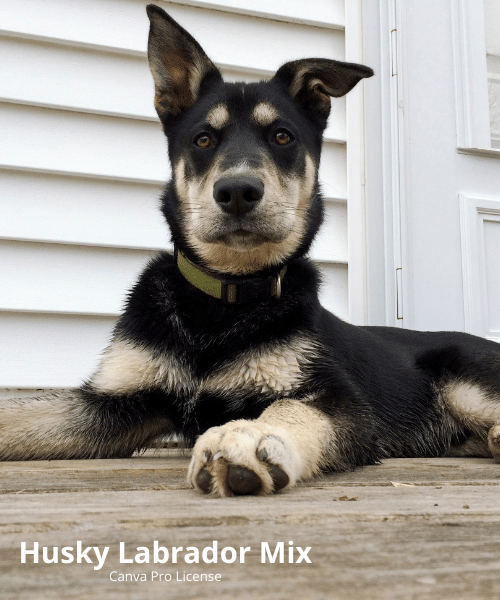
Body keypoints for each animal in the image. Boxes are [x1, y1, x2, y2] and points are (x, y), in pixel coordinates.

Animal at [0, 4, 500, 496]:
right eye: (203, 139)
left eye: (282, 136)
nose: (238, 191)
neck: (224, 298)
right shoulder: (119, 399)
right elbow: (23, 411)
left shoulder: (338, 400)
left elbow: (289, 409)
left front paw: (247, 437)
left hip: (466, 381)